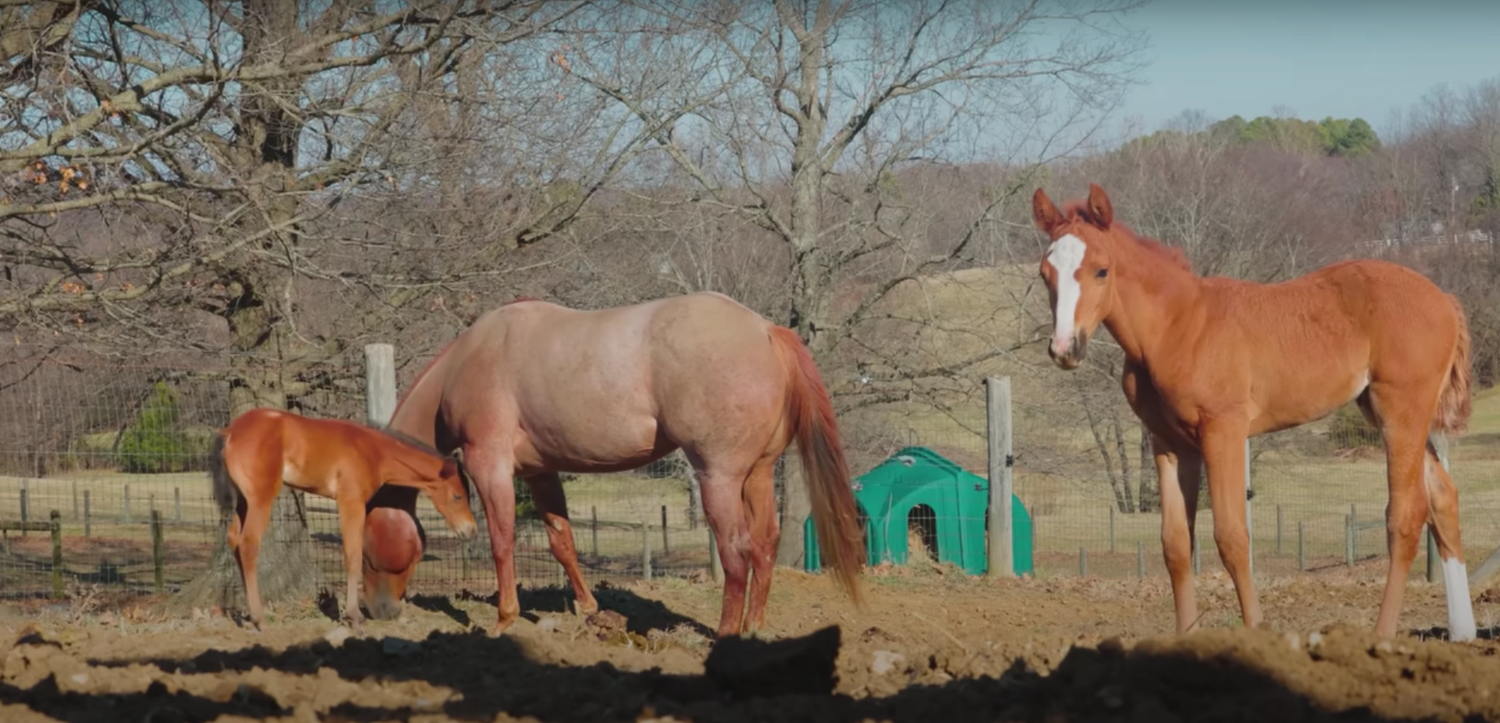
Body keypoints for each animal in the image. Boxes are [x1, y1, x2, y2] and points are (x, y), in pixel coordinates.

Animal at [208, 407, 479, 633]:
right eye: (457, 496)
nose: (470, 530)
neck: (372, 451)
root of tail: (230, 432)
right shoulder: (351, 502)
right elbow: (353, 556)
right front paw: (354, 618)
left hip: (243, 502)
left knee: (234, 540)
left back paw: (246, 616)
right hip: (261, 499)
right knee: (248, 544)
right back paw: (260, 619)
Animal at [354, 291, 867, 639]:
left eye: (369, 548)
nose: (380, 613)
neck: (470, 359)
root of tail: (764, 330)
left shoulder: (490, 465)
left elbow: (502, 542)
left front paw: (504, 619)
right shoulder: (540, 473)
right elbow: (562, 542)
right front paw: (586, 607)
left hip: (719, 478)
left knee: (736, 552)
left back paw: (726, 634)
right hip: (757, 476)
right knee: (764, 545)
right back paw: (756, 626)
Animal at [1032, 182, 1477, 642]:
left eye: (1101, 270)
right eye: (1044, 274)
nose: (1065, 349)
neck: (1177, 326)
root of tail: (1444, 299)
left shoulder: (1223, 430)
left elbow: (1231, 536)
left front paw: (1257, 631)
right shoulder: (1169, 443)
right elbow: (1176, 544)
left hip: (1401, 412)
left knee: (1406, 515)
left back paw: (1382, 635)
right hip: (1387, 413)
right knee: (1443, 499)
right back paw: (1463, 633)